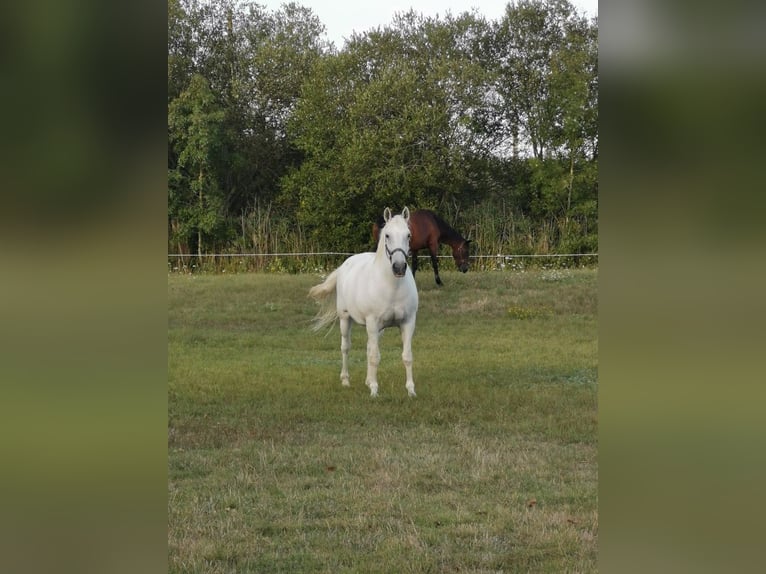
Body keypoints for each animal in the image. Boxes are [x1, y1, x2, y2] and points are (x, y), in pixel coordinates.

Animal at [310, 209, 420, 398]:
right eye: (387, 235)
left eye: (408, 235)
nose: (399, 267)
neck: (392, 287)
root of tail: (344, 266)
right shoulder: (372, 322)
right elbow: (375, 357)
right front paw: (375, 391)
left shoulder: (407, 323)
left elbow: (407, 356)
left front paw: (411, 390)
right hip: (345, 319)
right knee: (346, 347)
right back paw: (346, 380)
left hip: (377, 329)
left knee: (369, 348)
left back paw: (368, 381)